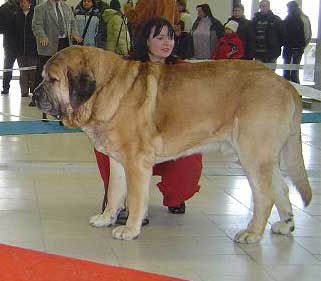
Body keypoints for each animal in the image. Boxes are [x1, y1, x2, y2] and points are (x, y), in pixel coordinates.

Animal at [34, 45, 310, 241]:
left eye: (53, 79)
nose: (35, 95)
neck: (104, 88)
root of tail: (286, 85)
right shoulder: (118, 162)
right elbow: (114, 192)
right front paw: (107, 218)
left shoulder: (137, 163)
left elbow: (136, 198)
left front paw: (130, 229)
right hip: (264, 158)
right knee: (281, 188)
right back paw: (286, 224)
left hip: (253, 156)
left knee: (265, 196)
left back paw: (252, 233)